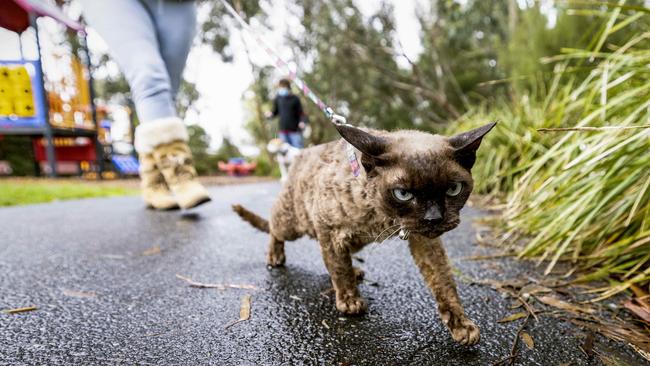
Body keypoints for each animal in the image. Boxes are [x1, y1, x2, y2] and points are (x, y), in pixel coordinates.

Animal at [235, 121, 494, 344]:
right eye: (403, 194)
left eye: (453, 189)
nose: (434, 218)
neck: (382, 218)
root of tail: (300, 154)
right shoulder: (328, 229)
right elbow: (339, 269)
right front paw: (349, 301)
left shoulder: (423, 240)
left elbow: (443, 282)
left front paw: (461, 324)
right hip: (293, 223)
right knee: (274, 227)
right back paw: (275, 256)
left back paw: (356, 271)